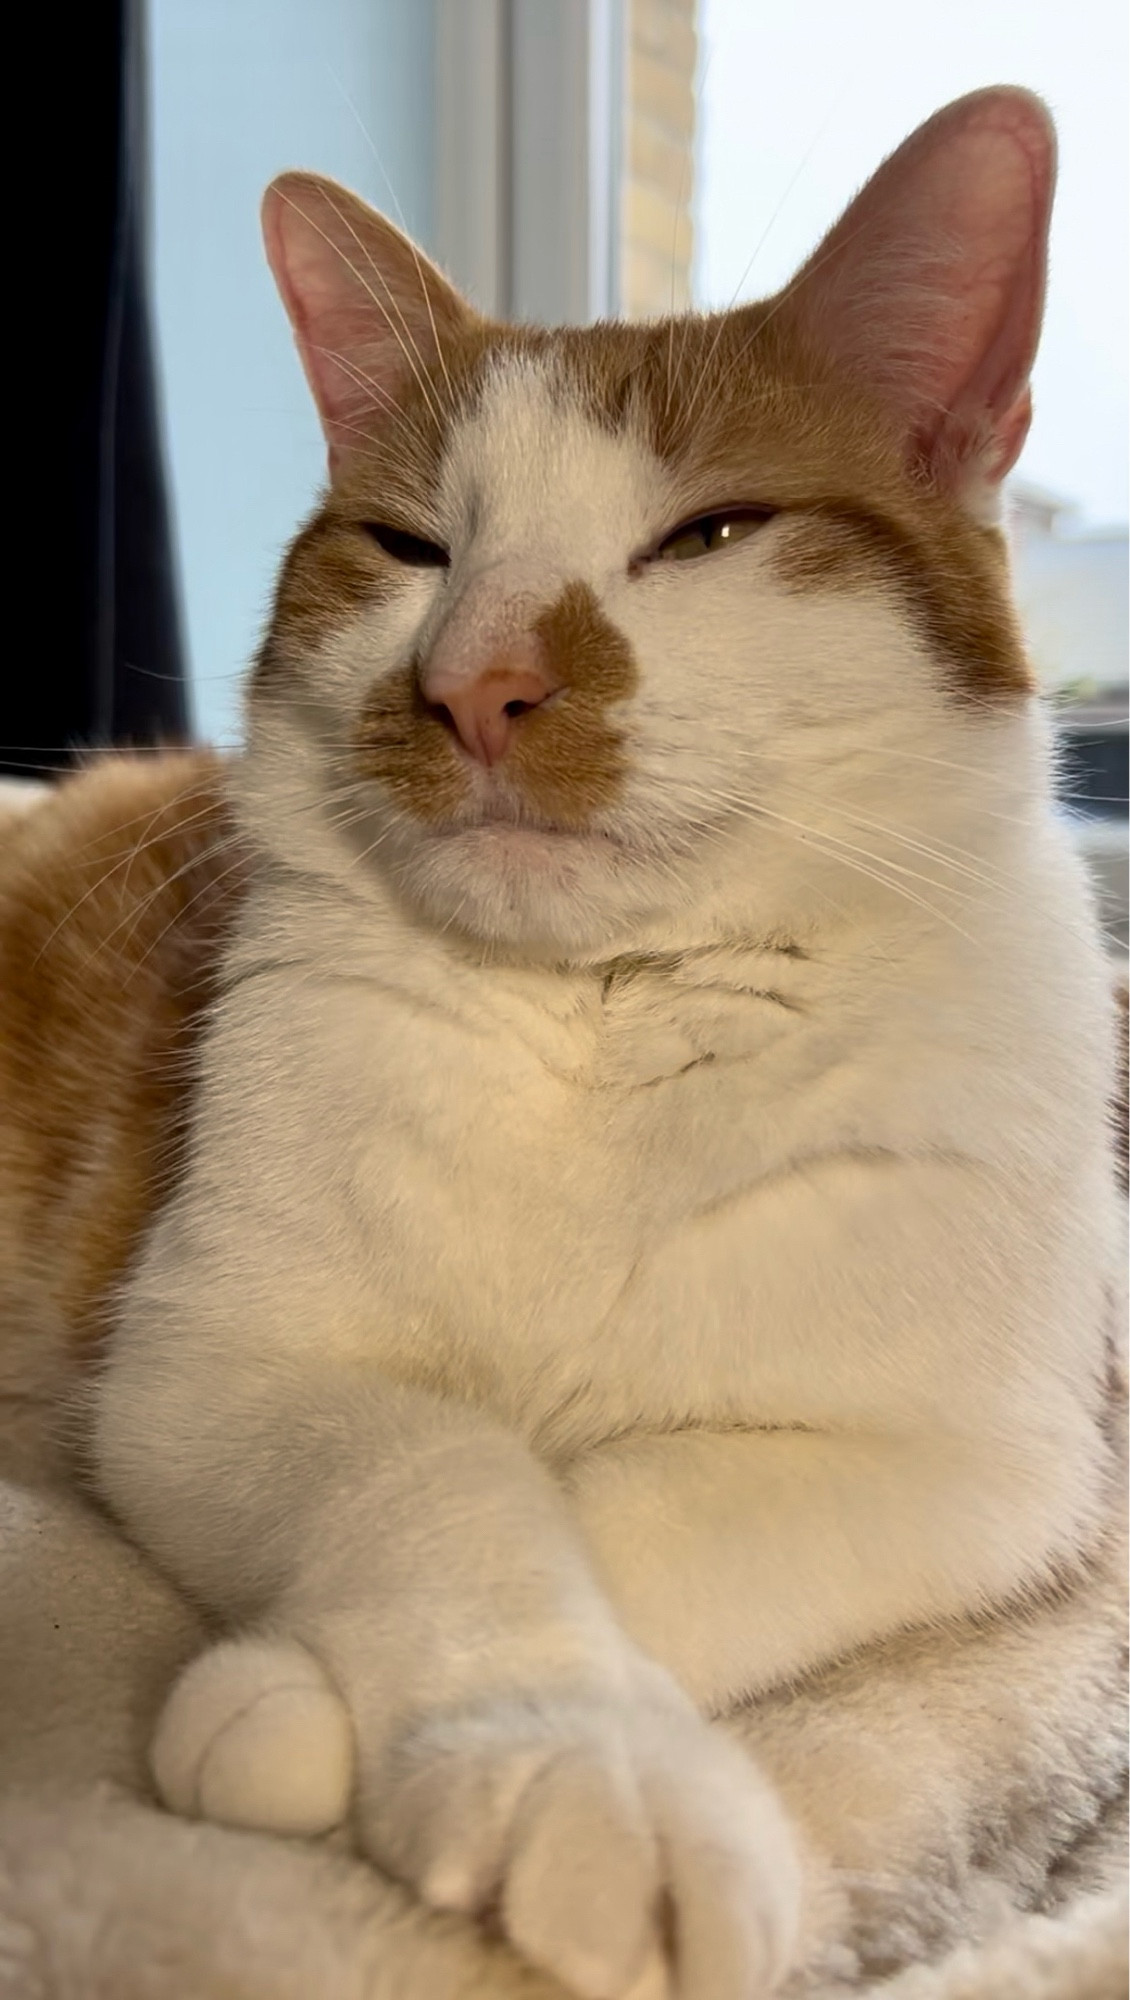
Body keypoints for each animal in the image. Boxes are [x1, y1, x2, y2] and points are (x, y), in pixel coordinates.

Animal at [4, 90, 1120, 2000]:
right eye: (407, 547)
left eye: (711, 534)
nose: (475, 680)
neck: (600, 1017)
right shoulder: (203, 1358)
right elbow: (442, 1468)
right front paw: (547, 1747)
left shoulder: (980, 1468)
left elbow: (631, 1501)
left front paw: (326, 1704)